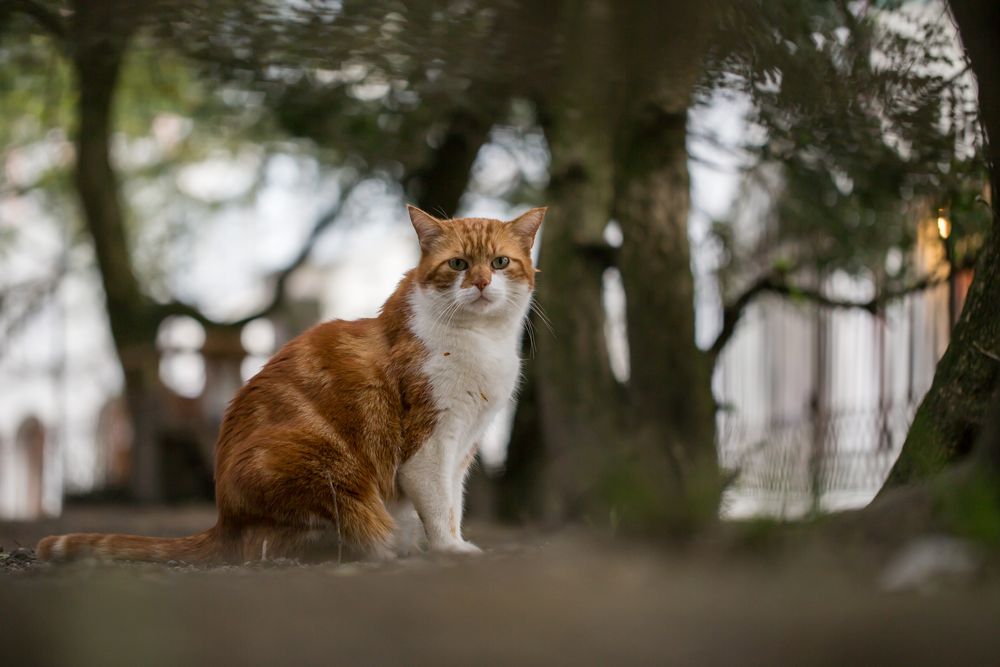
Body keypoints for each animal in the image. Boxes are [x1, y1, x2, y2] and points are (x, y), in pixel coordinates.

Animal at [37, 205, 548, 564]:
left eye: (500, 262)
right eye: (458, 264)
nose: (480, 283)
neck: (480, 342)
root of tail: (224, 520)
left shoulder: (465, 444)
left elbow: (453, 504)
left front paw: (449, 543)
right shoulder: (430, 442)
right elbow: (439, 506)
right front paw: (450, 551)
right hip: (324, 468)